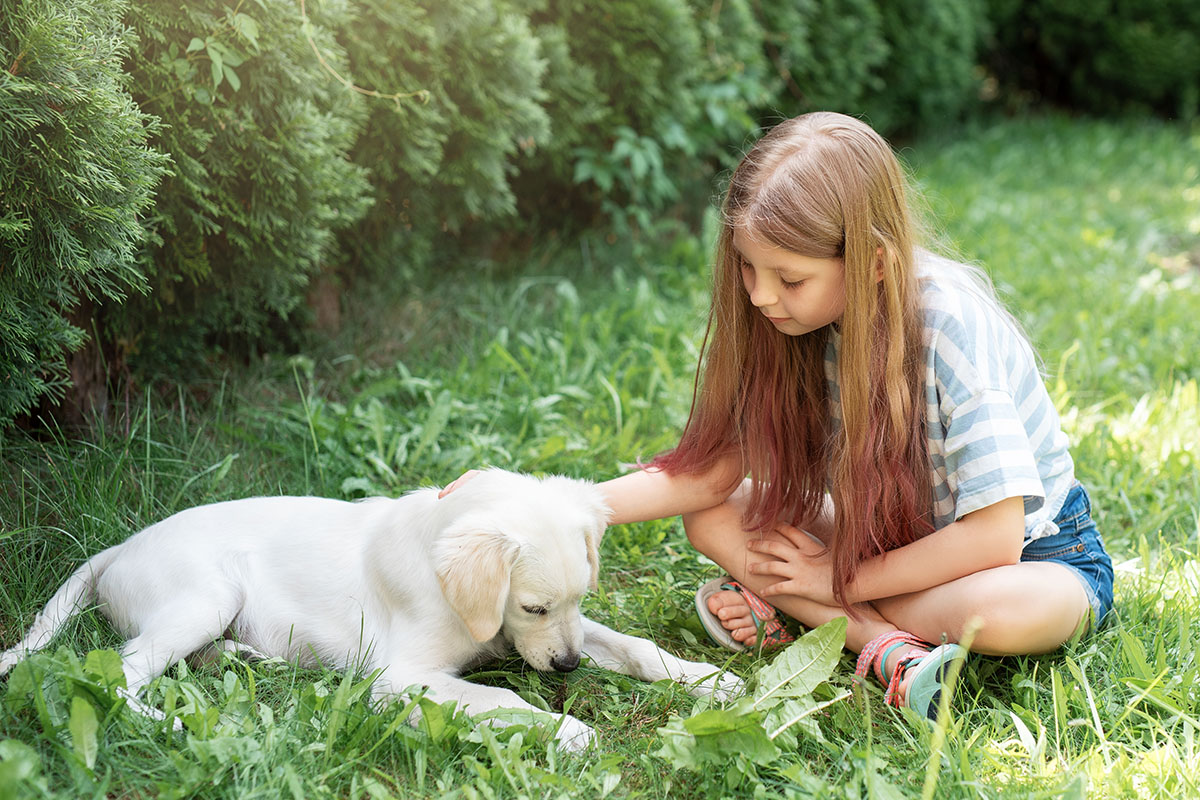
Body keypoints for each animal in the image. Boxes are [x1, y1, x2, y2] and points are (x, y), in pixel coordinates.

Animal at [0, 470, 739, 753]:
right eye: (532, 606)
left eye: (582, 598)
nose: (567, 667)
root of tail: (117, 549)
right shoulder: (402, 677)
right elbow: (499, 700)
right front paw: (566, 730)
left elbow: (635, 647)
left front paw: (713, 681)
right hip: (207, 595)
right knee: (118, 673)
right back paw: (175, 724)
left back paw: (242, 658)